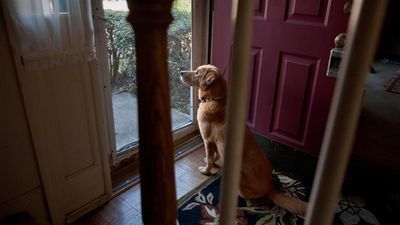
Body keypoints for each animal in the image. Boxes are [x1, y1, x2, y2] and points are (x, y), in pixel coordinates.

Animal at [180, 64, 308, 215]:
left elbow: (210, 159)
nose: (181, 72)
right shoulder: (215, 142)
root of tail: (270, 187)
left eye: (197, 73)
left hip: (239, 180)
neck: (214, 99)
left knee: (251, 203)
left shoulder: (207, 140)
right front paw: (211, 161)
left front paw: (206, 170)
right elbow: (214, 155)